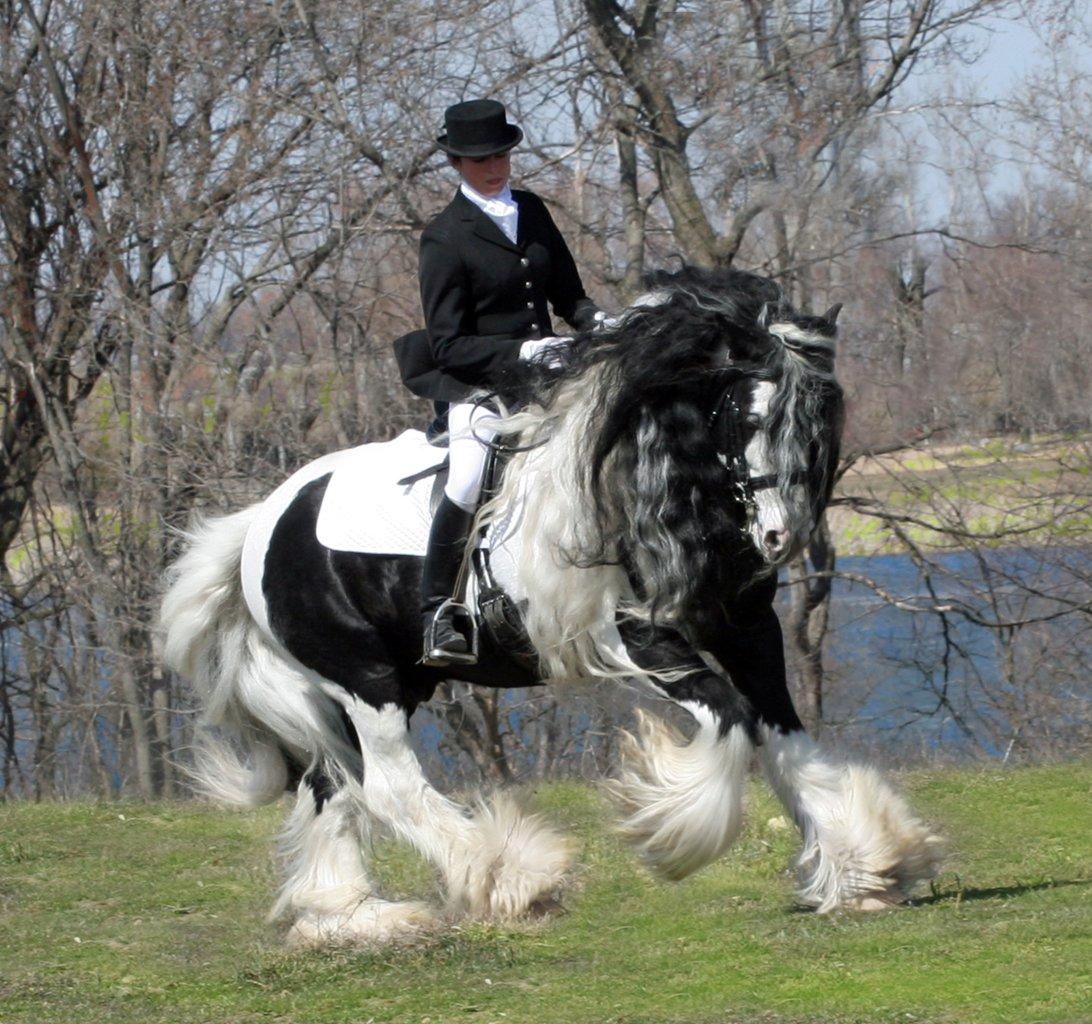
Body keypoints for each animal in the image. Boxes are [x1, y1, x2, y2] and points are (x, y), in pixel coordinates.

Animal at [160, 266, 941, 947]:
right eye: (742, 413)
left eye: (817, 418)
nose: (782, 537)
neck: (640, 471)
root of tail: (262, 521)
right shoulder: (634, 636)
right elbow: (730, 721)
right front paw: (674, 835)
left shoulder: (746, 629)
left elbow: (784, 738)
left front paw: (867, 865)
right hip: (365, 681)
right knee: (388, 786)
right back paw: (511, 878)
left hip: (375, 686)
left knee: (331, 784)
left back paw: (346, 917)